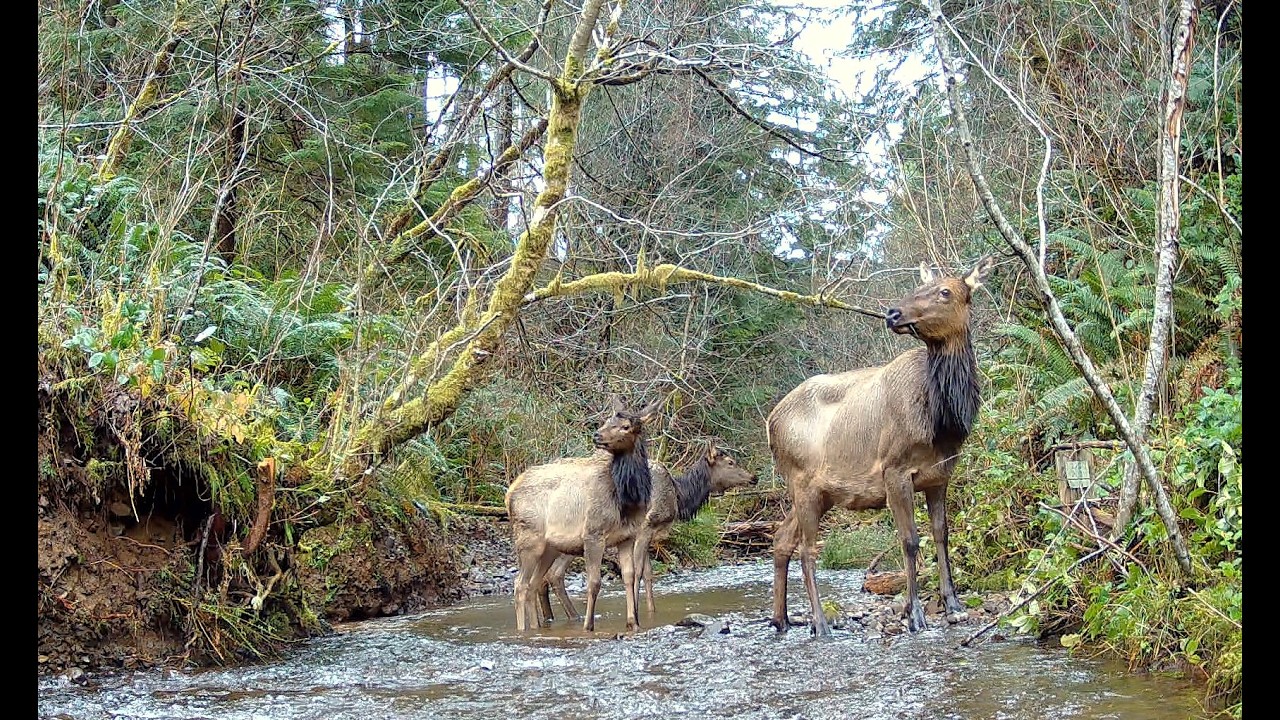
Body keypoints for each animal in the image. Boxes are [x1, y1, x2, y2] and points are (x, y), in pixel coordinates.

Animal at [504, 395, 661, 632]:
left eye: (626, 426)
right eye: (607, 420)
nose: (597, 435)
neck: (626, 499)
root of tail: (509, 494)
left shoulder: (627, 537)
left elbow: (630, 577)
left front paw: (633, 623)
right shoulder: (593, 532)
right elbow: (594, 582)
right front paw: (588, 626)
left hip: (549, 548)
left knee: (533, 585)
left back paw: (536, 628)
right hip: (529, 538)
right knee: (519, 585)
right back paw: (523, 630)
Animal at [535, 445, 758, 622]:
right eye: (730, 462)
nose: (754, 477)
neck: (679, 496)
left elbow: (649, 574)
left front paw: (651, 611)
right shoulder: (645, 527)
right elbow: (639, 572)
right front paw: (636, 611)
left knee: (546, 576)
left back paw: (552, 617)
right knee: (553, 574)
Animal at [767, 255, 995, 637]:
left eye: (945, 291)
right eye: (918, 286)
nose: (893, 313)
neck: (943, 421)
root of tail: (769, 423)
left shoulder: (940, 475)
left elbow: (941, 535)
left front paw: (954, 604)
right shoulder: (895, 469)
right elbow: (910, 540)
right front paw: (914, 614)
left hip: (820, 493)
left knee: (782, 539)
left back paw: (781, 619)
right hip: (802, 481)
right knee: (808, 549)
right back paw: (819, 623)